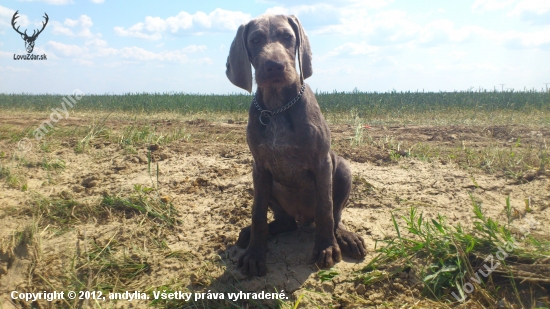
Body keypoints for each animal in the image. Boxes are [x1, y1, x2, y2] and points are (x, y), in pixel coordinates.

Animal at [224, 13, 366, 276]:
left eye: (288, 37)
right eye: (255, 40)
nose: (274, 66)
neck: (277, 107)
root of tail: (303, 218)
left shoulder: (322, 162)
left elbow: (326, 209)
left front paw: (326, 247)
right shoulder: (260, 167)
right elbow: (257, 214)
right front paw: (255, 254)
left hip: (342, 168)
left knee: (335, 215)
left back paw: (344, 237)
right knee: (285, 222)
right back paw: (254, 233)